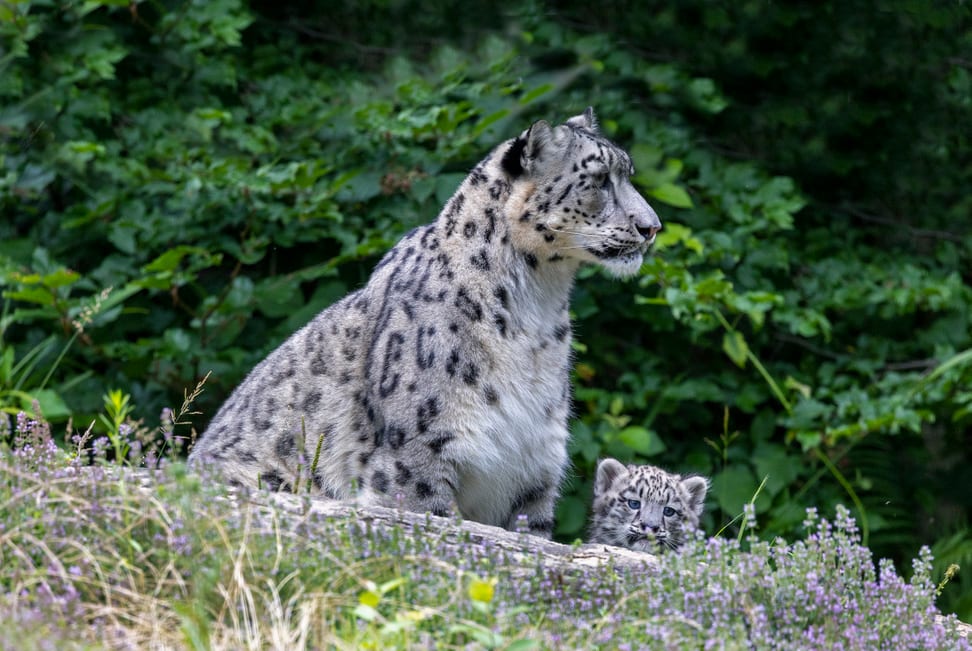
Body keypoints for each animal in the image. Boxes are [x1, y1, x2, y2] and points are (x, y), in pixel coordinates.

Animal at [190, 107, 660, 536]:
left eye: (628, 174)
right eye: (599, 179)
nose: (651, 226)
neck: (538, 307)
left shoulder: (535, 468)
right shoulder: (419, 453)